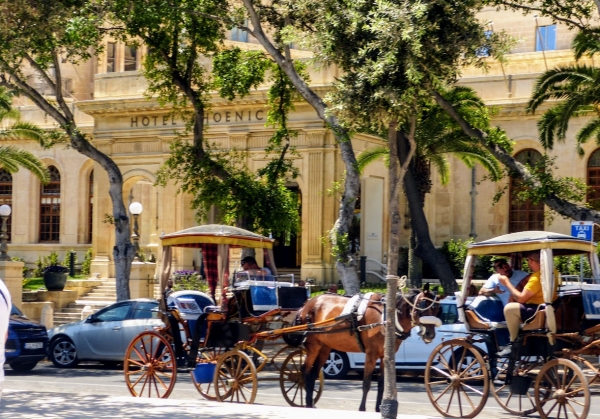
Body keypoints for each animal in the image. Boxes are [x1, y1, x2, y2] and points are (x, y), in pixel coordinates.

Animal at [290, 288, 440, 412]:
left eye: (437, 309)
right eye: (422, 306)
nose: (430, 335)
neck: (386, 318)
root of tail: (307, 304)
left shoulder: (385, 356)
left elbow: (381, 383)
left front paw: (379, 409)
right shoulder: (371, 354)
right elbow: (367, 383)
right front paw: (362, 409)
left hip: (324, 348)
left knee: (313, 373)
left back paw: (310, 403)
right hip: (314, 346)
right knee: (305, 370)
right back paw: (308, 403)